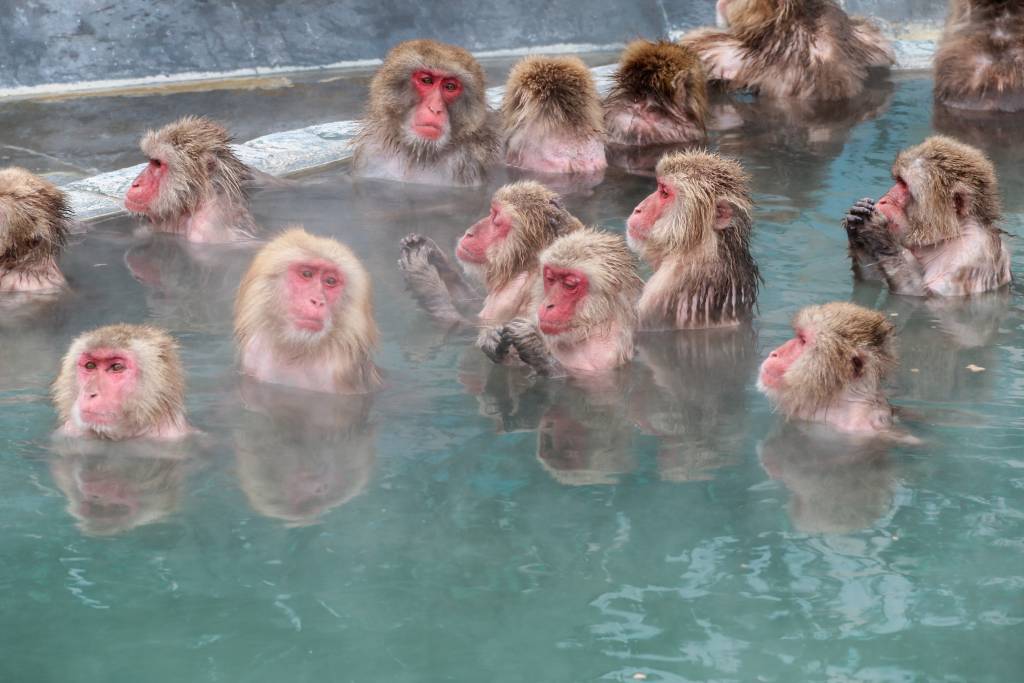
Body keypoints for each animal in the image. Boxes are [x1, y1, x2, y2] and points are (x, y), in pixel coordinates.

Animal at [234, 227, 381, 394]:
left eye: (330, 281)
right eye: (306, 274)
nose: (317, 301)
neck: (297, 351)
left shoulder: (341, 367)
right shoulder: (253, 353)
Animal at [351, 39, 500, 186]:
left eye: (450, 87)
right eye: (427, 80)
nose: (434, 108)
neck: (419, 154)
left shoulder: (466, 162)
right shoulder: (372, 155)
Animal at [398, 180, 583, 353]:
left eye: (496, 220)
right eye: (491, 212)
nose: (469, 233)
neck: (523, 266)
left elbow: (468, 328)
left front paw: (422, 277)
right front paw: (436, 256)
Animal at [489, 227, 642, 376]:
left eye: (569, 285)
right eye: (550, 278)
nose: (548, 305)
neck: (586, 330)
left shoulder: (605, 353)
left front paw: (533, 345)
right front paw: (493, 338)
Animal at [841, 136, 1012, 297]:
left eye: (904, 185)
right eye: (898, 181)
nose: (884, 200)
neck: (949, 236)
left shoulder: (972, 254)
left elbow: (925, 295)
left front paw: (878, 234)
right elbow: (873, 283)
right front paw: (857, 226)